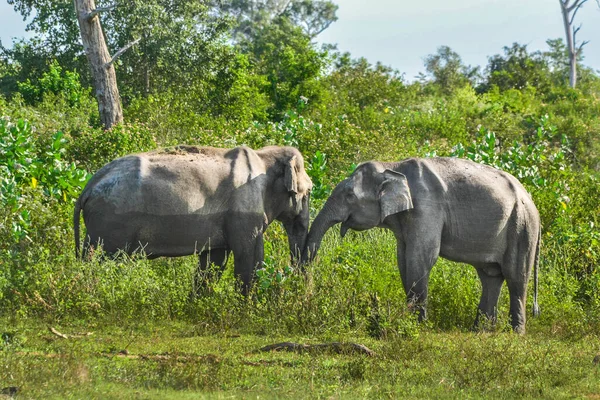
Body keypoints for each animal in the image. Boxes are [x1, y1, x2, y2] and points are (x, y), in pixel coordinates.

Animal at [72, 145, 312, 294]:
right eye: (309, 191)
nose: (297, 281)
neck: (264, 156)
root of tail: (88, 187)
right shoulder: (244, 210)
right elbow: (248, 256)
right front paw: (247, 307)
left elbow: (214, 261)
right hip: (110, 223)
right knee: (102, 261)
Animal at [302, 158, 540, 332]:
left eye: (350, 195)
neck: (393, 166)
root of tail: (531, 199)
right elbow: (403, 259)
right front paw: (410, 321)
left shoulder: (427, 208)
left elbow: (422, 256)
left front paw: (418, 326)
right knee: (490, 276)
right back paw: (481, 331)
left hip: (522, 226)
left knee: (516, 277)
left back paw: (515, 333)